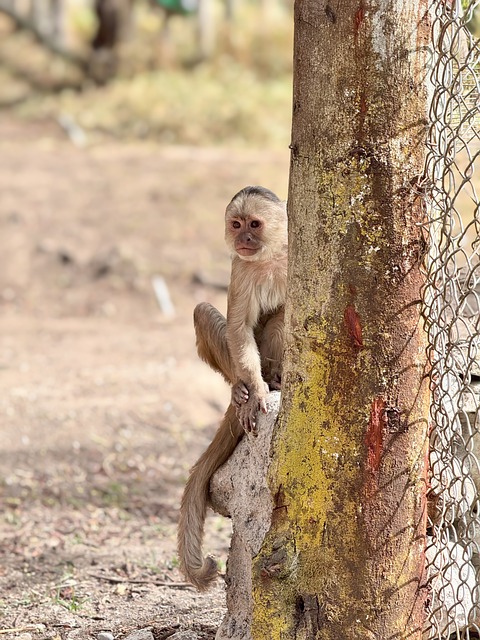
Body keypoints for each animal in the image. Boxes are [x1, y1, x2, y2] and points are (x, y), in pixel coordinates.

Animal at [177, 186, 288, 590]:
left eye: (254, 225)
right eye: (236, 224)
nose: (244, 240)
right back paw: (241, 392)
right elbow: (239, 329)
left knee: (281, 318)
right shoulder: (240, 266)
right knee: (203, 311)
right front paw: (254, 393)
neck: (270, 257)